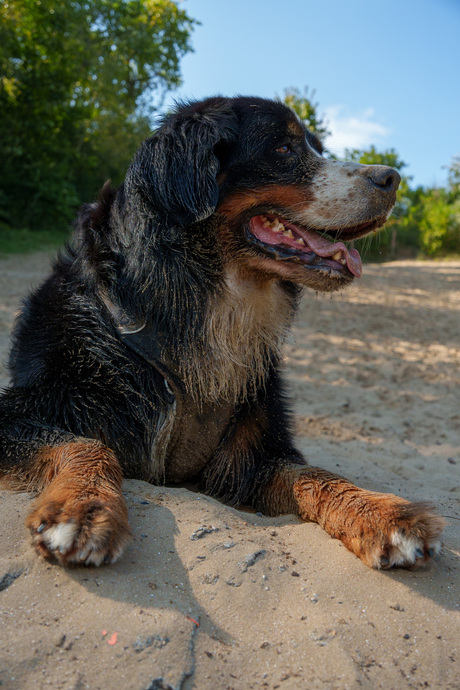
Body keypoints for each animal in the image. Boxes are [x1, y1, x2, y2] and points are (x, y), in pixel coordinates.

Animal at [0, 98, 446, 568]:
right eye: (284, 148)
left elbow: (315, 474)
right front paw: (83, 506)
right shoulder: (25, 412)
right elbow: (85, 445)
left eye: (316, 148)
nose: (392, 178)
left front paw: (382, 511)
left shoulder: (252, 458)